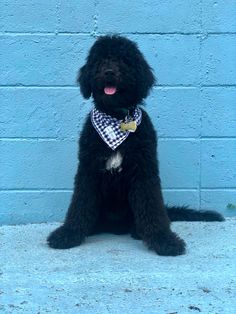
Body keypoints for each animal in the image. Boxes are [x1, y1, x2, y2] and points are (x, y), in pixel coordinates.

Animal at [47, 35, 223, 255]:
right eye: (99, 60)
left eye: (124, 60)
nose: (109, 72)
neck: (116, 118)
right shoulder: (88, 170)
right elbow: (80, 203)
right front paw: (67, 234)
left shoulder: (144, 170)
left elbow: (151, 206)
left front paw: (164, 240)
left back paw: (139, 232)